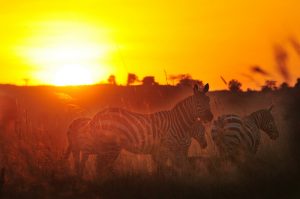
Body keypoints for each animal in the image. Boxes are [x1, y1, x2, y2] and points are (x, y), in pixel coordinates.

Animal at [80, 83, 213, 176]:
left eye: (209, 101)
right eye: (198, 103)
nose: (210, 117)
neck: (179, 124)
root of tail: (96, 117)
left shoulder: (177, 150)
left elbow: (181, 169)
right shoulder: (167, 149)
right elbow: (167, 170)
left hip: (106, 146)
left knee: (100, 165)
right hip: (109, 146)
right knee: (100, 166)